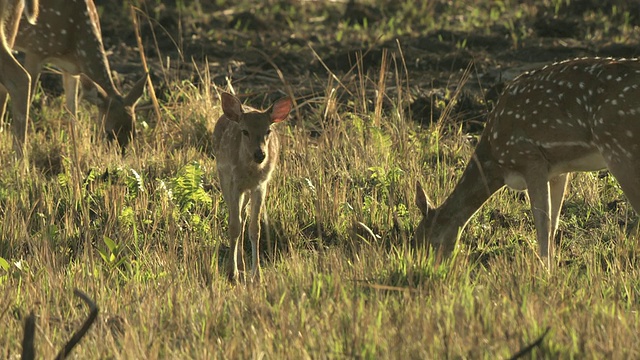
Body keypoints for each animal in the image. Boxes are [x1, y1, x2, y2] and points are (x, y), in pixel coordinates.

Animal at [2, 0, 145, 149]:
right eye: (109, 132)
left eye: (134, 133)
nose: (120, 153)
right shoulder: (35, 50)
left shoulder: (72, 70)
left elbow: (73, 113)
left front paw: (75, 151)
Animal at [214, 91, 294, 282]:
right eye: (245, 131)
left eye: (268, 131)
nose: (260, 154)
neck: (250, 171)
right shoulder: (234, 183)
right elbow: (234, 226)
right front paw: (231, 273)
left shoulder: (260, 185)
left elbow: (255, 228)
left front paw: (256, 274)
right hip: (224, 179)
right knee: (236, 217)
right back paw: (239, 267)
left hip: (247, 191)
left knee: (243, 218)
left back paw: (243, 265)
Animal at [416, 57, 640, 268]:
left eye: (424, 239)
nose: (425, 266)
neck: (496, 162)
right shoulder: (558, 170)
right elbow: (553, 223)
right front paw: (552, 267)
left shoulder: (530, 158)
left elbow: (542, 222)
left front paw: (544, 270)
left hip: (620, 146)